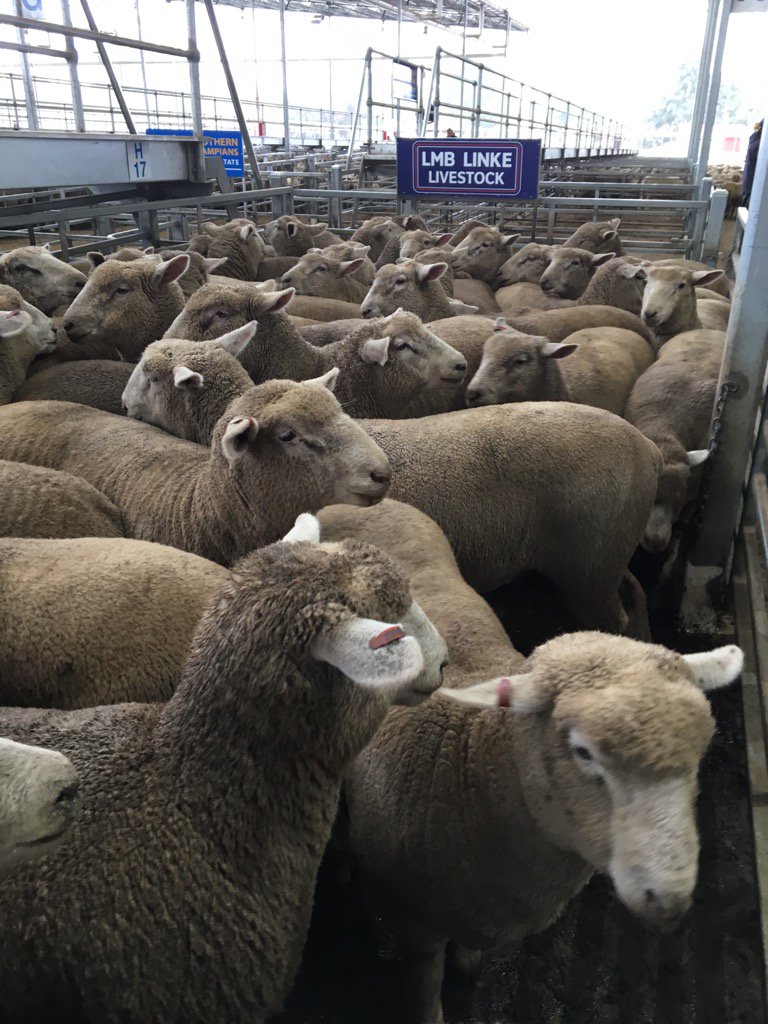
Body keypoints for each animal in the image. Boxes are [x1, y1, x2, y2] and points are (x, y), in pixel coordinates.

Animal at [345, 632, 744, 1024]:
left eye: (702, 750)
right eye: (583, 752)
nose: (669, 900)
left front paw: (469, 958)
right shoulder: (414, 927)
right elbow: (426, 988)